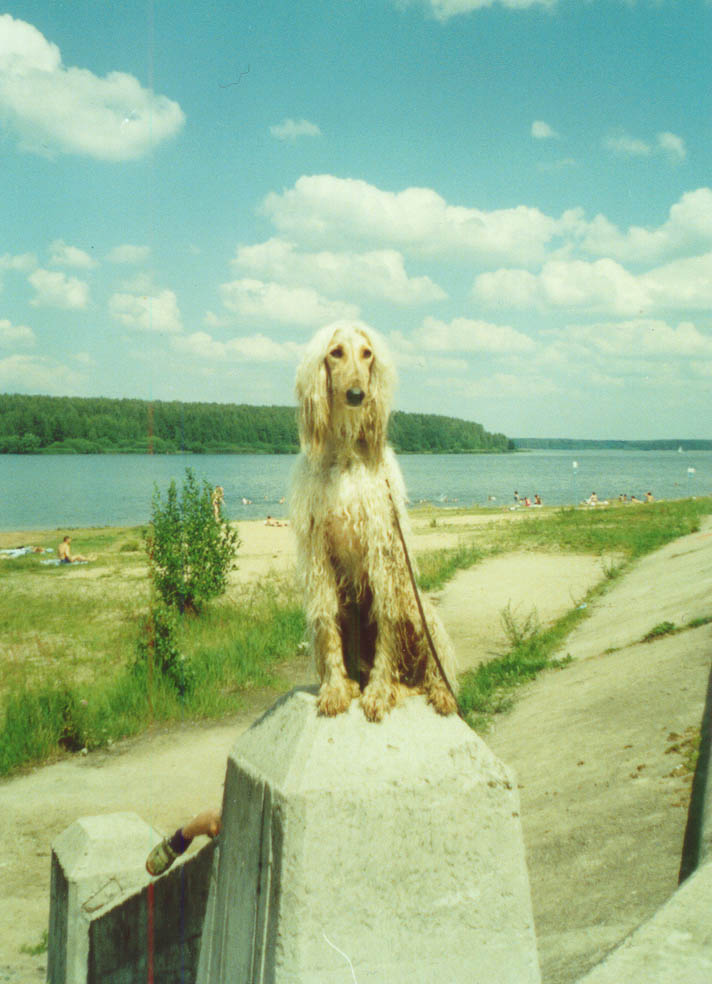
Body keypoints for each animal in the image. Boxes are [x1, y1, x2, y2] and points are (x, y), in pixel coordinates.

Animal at [288, 322, 458, 724]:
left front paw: (378, 692)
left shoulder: (382, 549)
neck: (347, 457)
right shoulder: (319, 555)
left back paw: (434, 691)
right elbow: (327, 623)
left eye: (367, 354)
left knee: (430, 664)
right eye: (335, 352)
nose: (357, 395)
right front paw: (336, 688)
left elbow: (386, 623)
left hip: (416, 606)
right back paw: (358, 682)